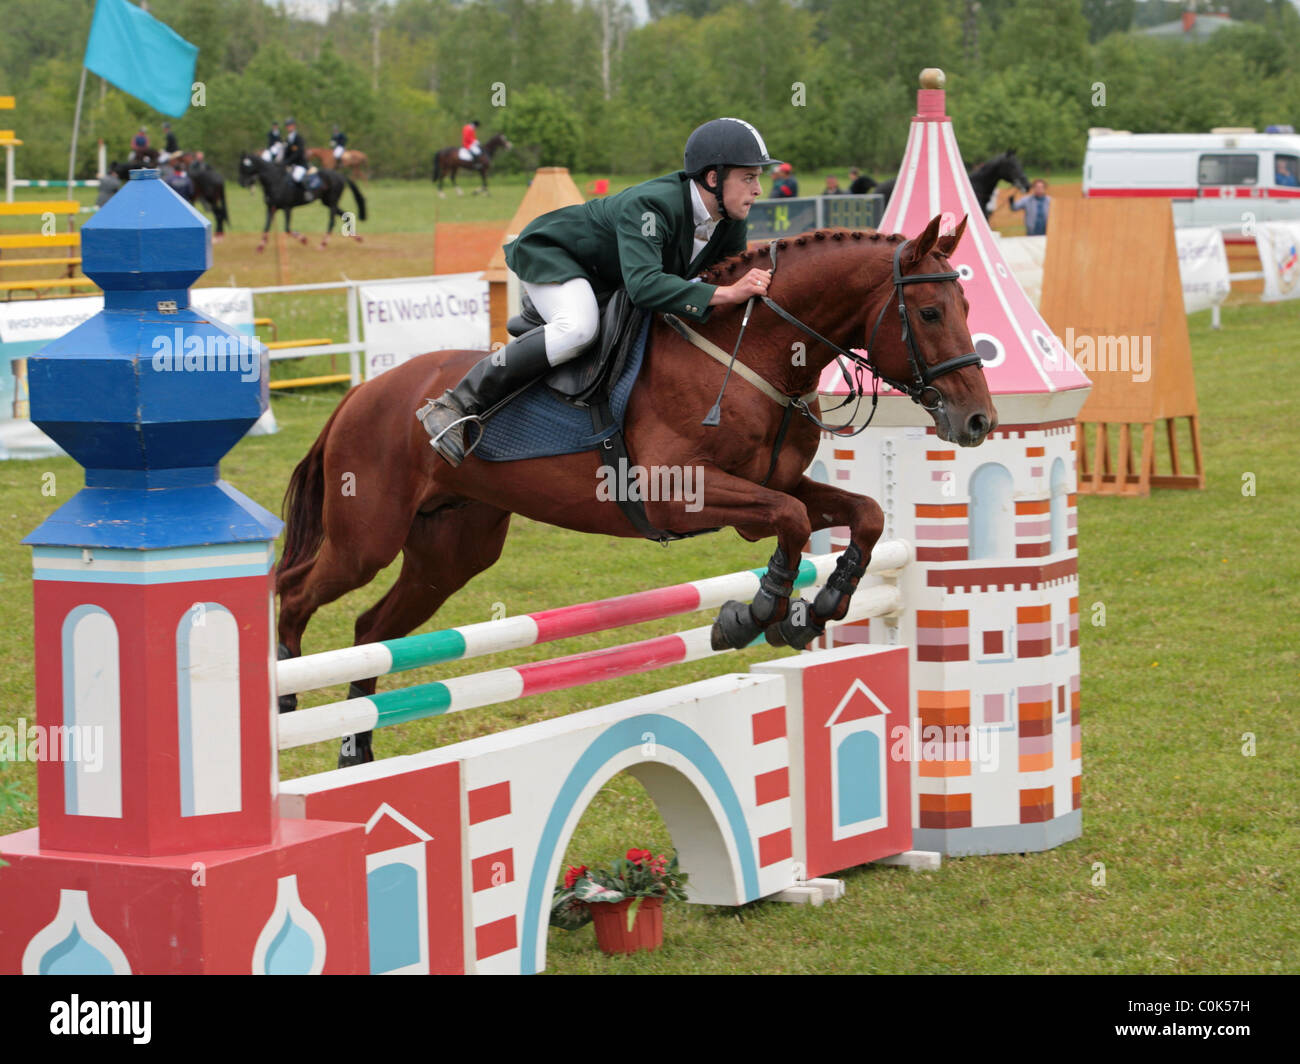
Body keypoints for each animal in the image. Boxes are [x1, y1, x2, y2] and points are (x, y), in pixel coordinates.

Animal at [233, 152, 364, 249]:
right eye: (240, 166)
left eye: (246, 166)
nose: (241, 182)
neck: (275, 181)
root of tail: (340, 175)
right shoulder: (271, 208)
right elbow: (266, 227)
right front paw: (261, 246)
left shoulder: (287, 208)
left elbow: (287, 229)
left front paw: (304, 240)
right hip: (327, 202)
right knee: (345, 216)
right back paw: (358, 238)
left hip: (332, 202)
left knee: (332, 221)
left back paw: (323, 244)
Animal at [279, 215, 998, 764]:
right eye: (930, 311)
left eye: (967, 308)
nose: (978, 421)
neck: (752, 353)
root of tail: (360, 394)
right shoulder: (677, 493)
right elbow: (793, 520)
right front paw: (753, 616)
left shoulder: (770, 488)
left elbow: (862, 514)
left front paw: (817, 607)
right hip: (366, 540)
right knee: (294, 593)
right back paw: (283, 697)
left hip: (450, 552)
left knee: (372, 628)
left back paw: (355, 750)